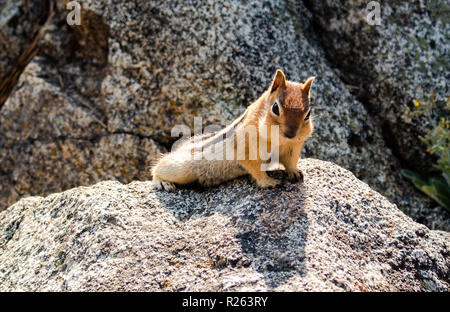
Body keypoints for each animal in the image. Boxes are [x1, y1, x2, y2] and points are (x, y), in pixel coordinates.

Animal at [151, 69, 312, 190]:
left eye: (308, 114)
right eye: (275, 108)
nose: (291, 134)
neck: (279, 140)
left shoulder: (293, 147)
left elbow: (290, 162)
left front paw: (295, 172)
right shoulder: (246, 148)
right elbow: (256, 169)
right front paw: (268, 182)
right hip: (181, 168)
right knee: (158, 167)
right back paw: (162, 182)